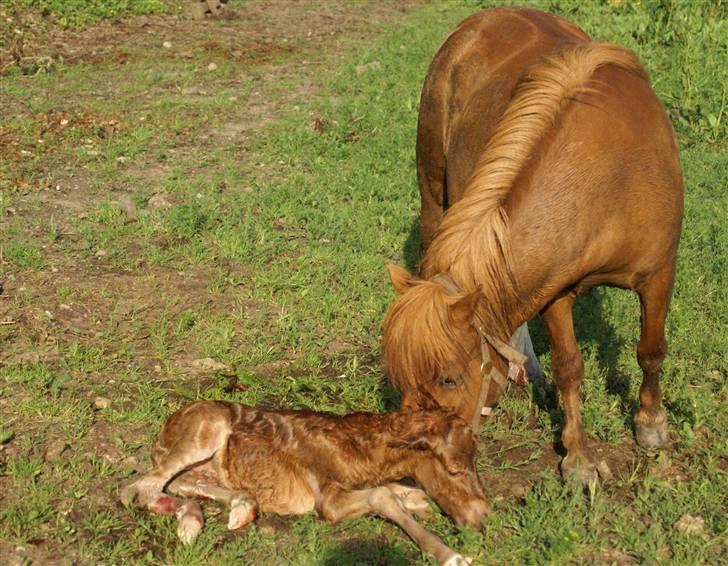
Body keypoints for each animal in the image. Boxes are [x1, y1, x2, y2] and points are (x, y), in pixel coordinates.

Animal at [122, 402, 490, 564]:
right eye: (455, 469)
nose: (484, 514)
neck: (361, 454)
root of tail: (163, 430)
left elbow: (405, 492)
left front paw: (419, 503)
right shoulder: (326, 500)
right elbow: (384, 497)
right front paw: (449, 553)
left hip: (205, 466)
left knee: (175, 483)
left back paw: (232, 509)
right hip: (206, 429)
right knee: (136, 489)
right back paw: (190, 519)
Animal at [382, 6, 684, 482]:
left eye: (448, 378)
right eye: (399, 378)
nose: (415, 460)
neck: (611, 178)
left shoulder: (658, 274)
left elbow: (651, 351)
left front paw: (651, 425)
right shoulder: (556, 287)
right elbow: (569, 368)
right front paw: (578, 458)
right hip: (432, 193)